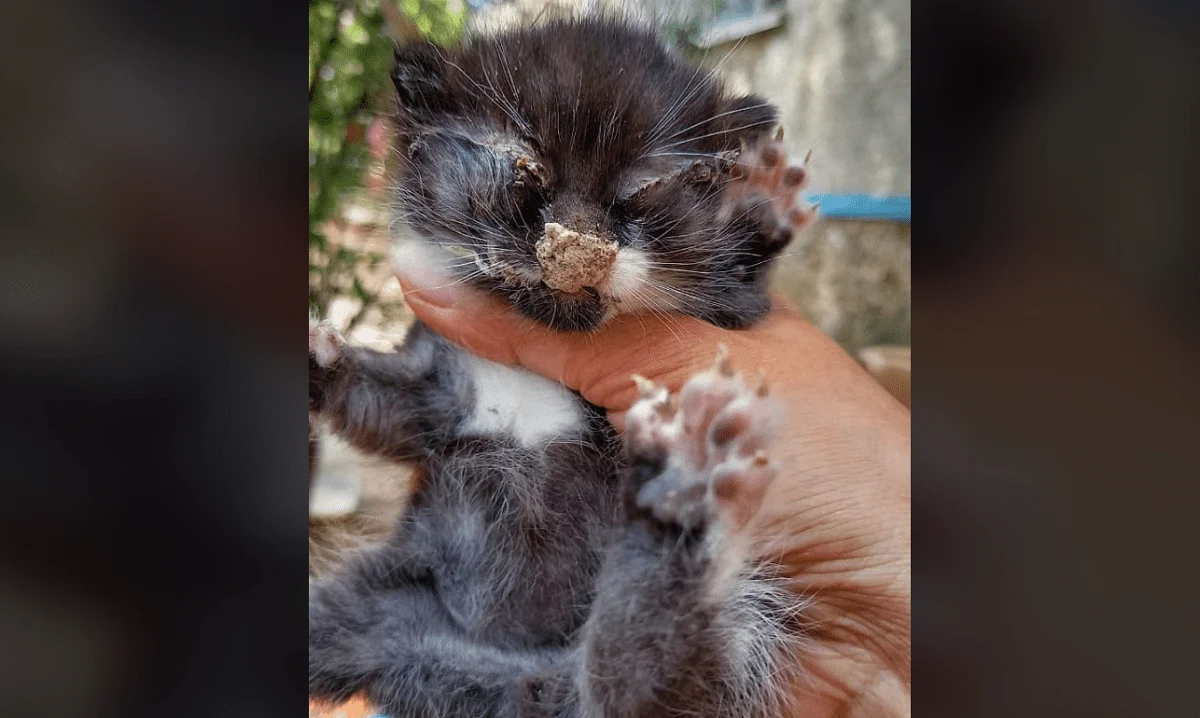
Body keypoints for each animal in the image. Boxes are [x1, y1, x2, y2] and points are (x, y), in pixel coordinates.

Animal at [304, 16, 820, 718]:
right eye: (526, 165)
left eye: (643, 188)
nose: (581, 245)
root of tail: (509, 675)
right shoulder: (434, 398)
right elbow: (380, 408)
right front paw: (320, 355)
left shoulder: (739, 316)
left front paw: (759, 206)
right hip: (373, 598)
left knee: (644, 686)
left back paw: (685, 488)